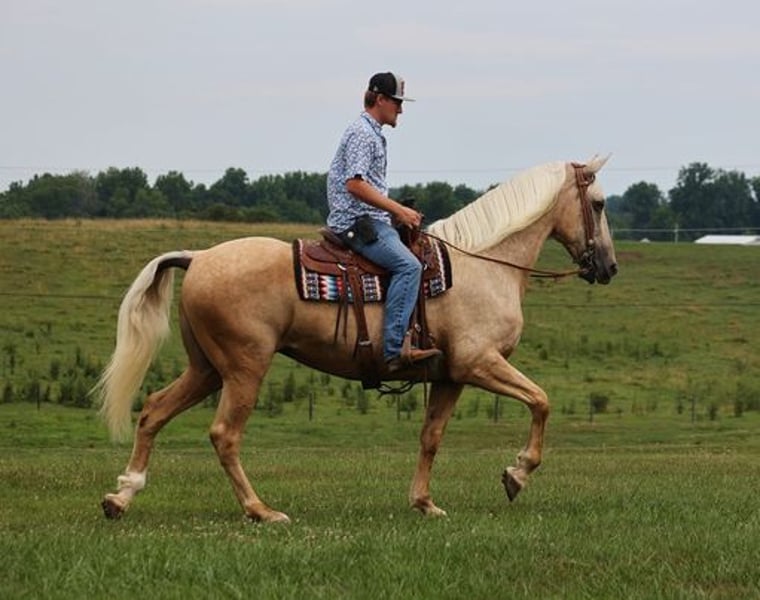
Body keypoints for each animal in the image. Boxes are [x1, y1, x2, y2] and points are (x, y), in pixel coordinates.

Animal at [95, 156, 617, 523]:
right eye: (598, 203)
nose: (609, 266)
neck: (483, 265)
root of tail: (198, 256)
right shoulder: (479, 363)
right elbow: (541, 401)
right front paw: (516, 475)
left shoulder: (449, 376)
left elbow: (431, 437)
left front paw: (424, 502)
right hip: (244, 368)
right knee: (224, 434)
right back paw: (261, 510)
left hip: (206, 369)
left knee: (154, 410)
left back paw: (121, 496)